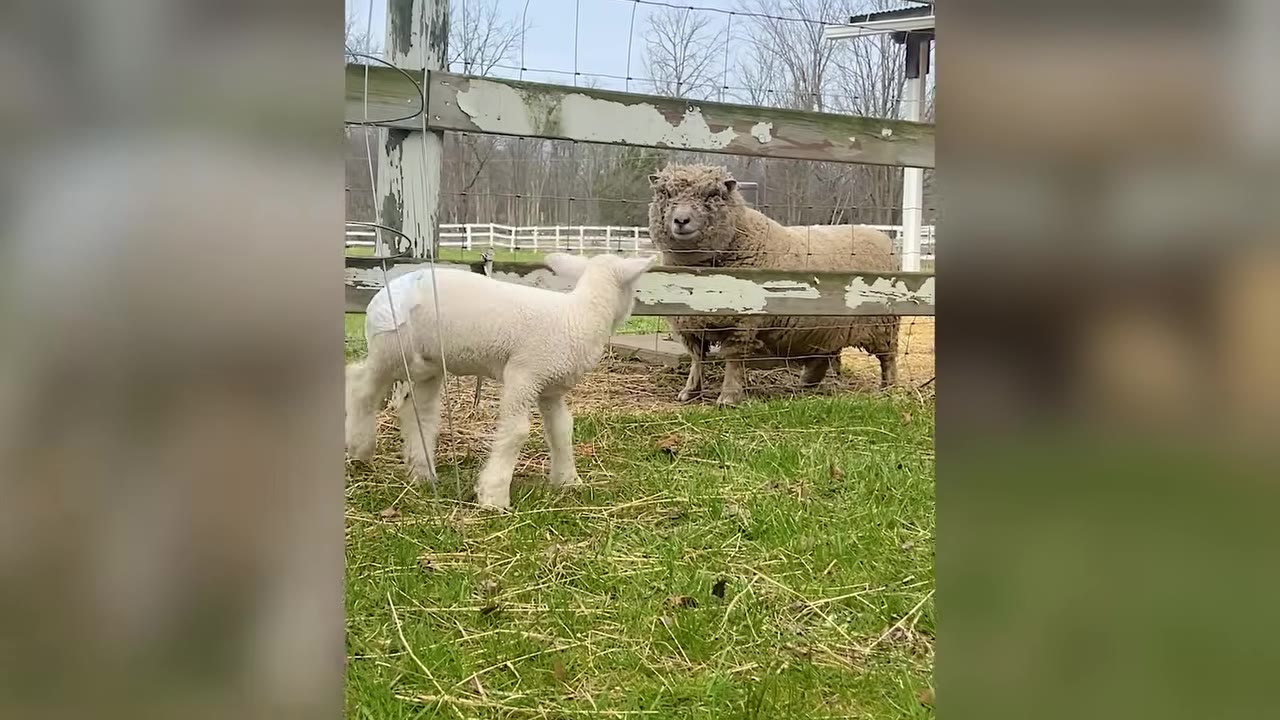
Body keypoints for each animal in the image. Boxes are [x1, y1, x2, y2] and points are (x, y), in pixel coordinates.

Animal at [344, 252, 657, 510]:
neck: (578, 315)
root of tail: (382, 293)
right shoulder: (524, 374)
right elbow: (517, 431)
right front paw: (494, 496)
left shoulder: (550, 388)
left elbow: (561, 430)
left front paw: (568, 481)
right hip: (391, 349)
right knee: (360, 385)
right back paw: (360, 449)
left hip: (427, 365)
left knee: (418, 413)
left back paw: (422, 473)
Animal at [647, 163, 900, 406]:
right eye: (665, 192)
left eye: (713, 194)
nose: (681, 221)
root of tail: (883, 237)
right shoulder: (689, 323)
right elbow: (697, 360)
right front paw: (690, 391)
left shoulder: (742, 324)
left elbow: (733, 361)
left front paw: (728, 397)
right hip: (827, 326)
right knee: (824, 355)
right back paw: (806, 384)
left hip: (883, 324)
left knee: (888, 358)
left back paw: (888, 390)